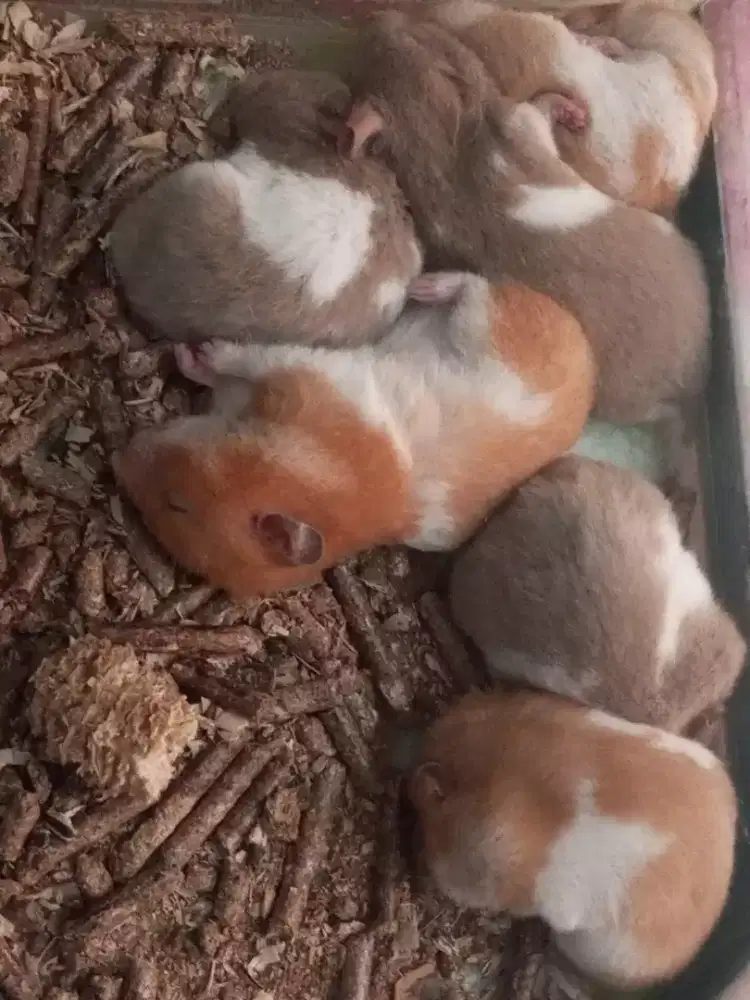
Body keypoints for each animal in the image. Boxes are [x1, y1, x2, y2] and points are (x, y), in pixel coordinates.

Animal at [114, 270, 594, 598]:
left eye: (176, 505)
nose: (120, 458)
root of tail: (589, 360)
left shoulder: (297, 370)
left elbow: (234, 358)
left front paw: (197, 350)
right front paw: (190, 352)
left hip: (484, 325)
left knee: (477, 286)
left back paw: (425, 288)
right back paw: (421, 289)